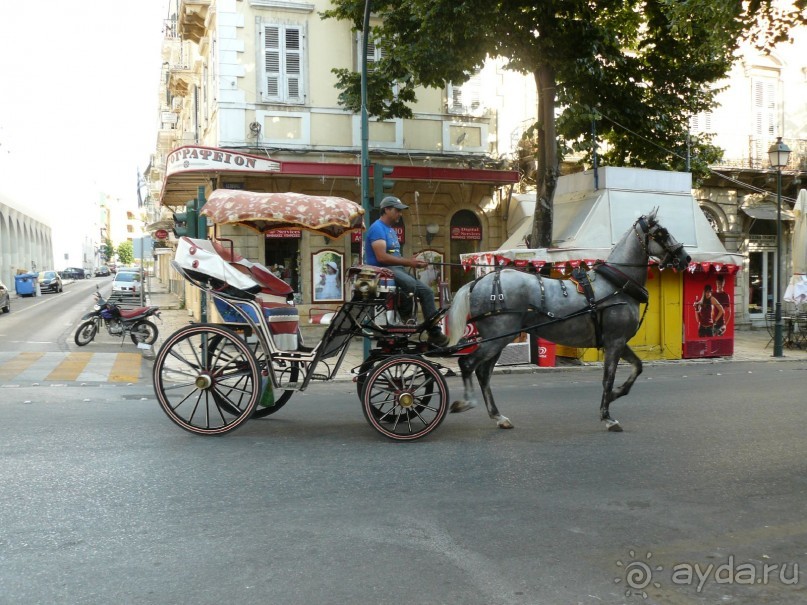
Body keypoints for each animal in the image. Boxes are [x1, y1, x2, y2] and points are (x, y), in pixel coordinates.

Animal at [446, 210, 692, 432]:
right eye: (661, 233)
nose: (686, 258)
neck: (616, 286)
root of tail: (478, 282)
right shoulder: (614, 342)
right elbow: (608, 378)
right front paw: (607, 416)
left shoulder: (619, 341)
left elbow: (637, 367)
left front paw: (616, 394)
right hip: (497, 338)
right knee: (468, 364)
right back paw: (467, 402)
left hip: (498, 340)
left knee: (483, 373)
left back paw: (498, 416)